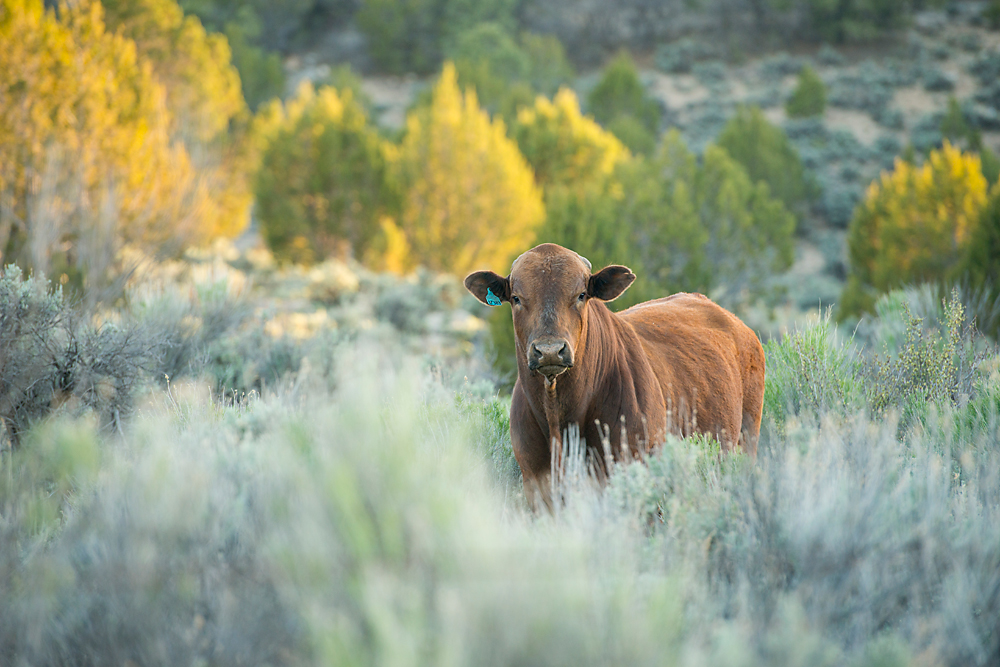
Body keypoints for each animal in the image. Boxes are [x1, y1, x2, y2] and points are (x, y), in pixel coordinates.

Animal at [465, 243, 765, 510]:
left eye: (581, 295)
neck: (559, 420)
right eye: (516, 298)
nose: (549, 350)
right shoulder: (537, 487)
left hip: (746, 443)